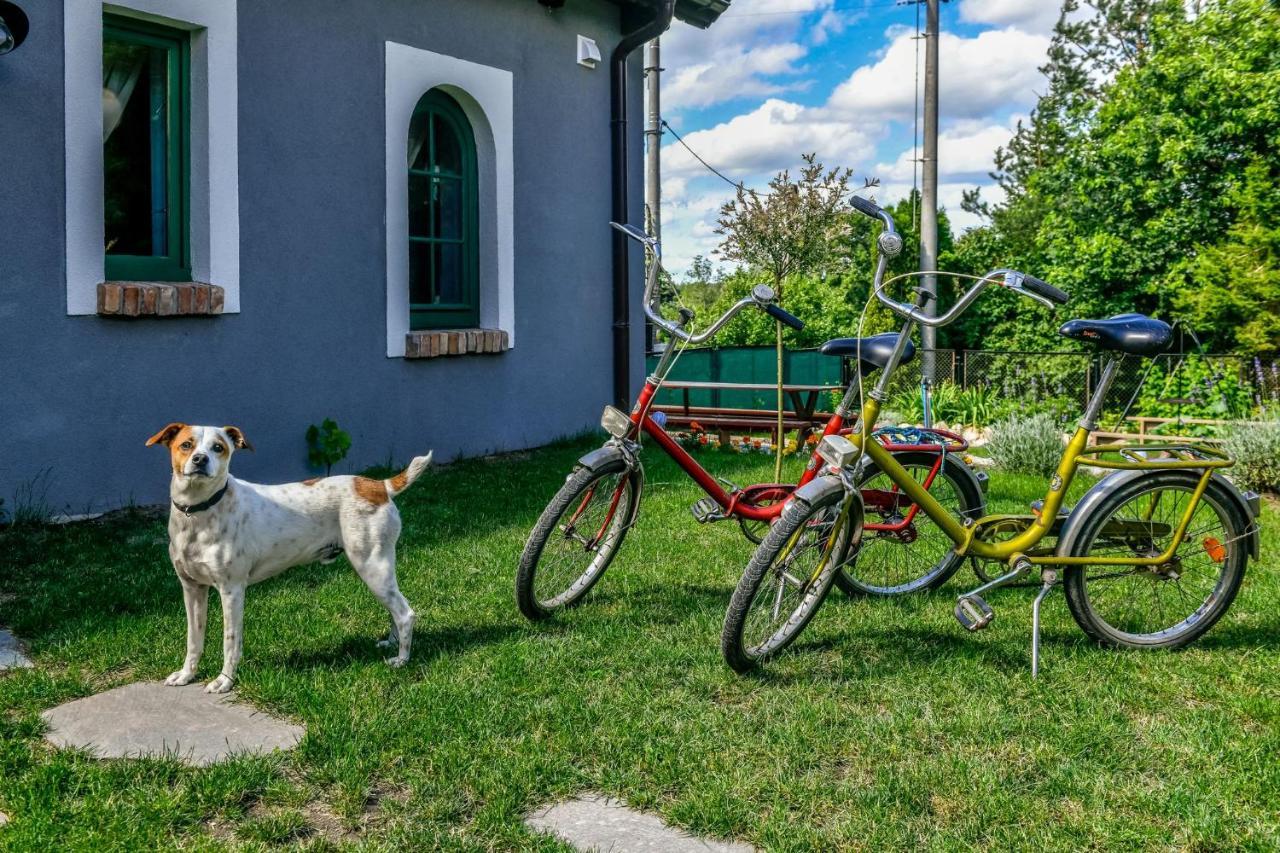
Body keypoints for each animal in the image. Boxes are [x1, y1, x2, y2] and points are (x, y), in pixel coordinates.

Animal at [146, 420, 430, 691]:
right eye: (186, 445)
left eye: (218, 447)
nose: (200, 459)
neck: (199, 512)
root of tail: (378, 486)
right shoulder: (192, 589)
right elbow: (193, 640)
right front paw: (186, 675)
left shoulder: (232, 590)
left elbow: (231, 642)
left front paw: (225, 680)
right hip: (379, 571)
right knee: (395, 608)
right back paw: (391, 644)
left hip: (372, 566)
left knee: (405, 613)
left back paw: (401, 659)